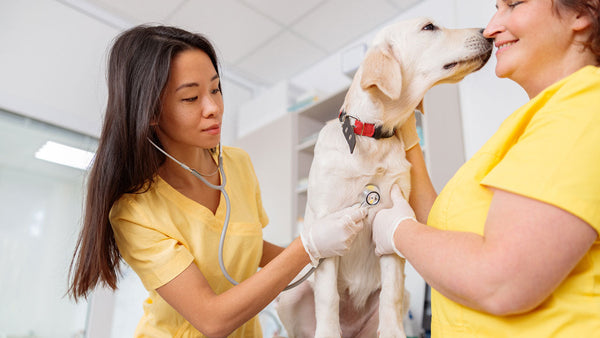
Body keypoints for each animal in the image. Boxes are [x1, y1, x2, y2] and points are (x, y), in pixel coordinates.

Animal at [276, 17, 492, 336]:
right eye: (429, 27)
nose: (486, 32)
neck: (370, 136)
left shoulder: (391, 223)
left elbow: (391, 291)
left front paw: (393, 332)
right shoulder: (327, 225)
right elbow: (327, 298)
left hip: (406, 294)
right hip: (290, 295)